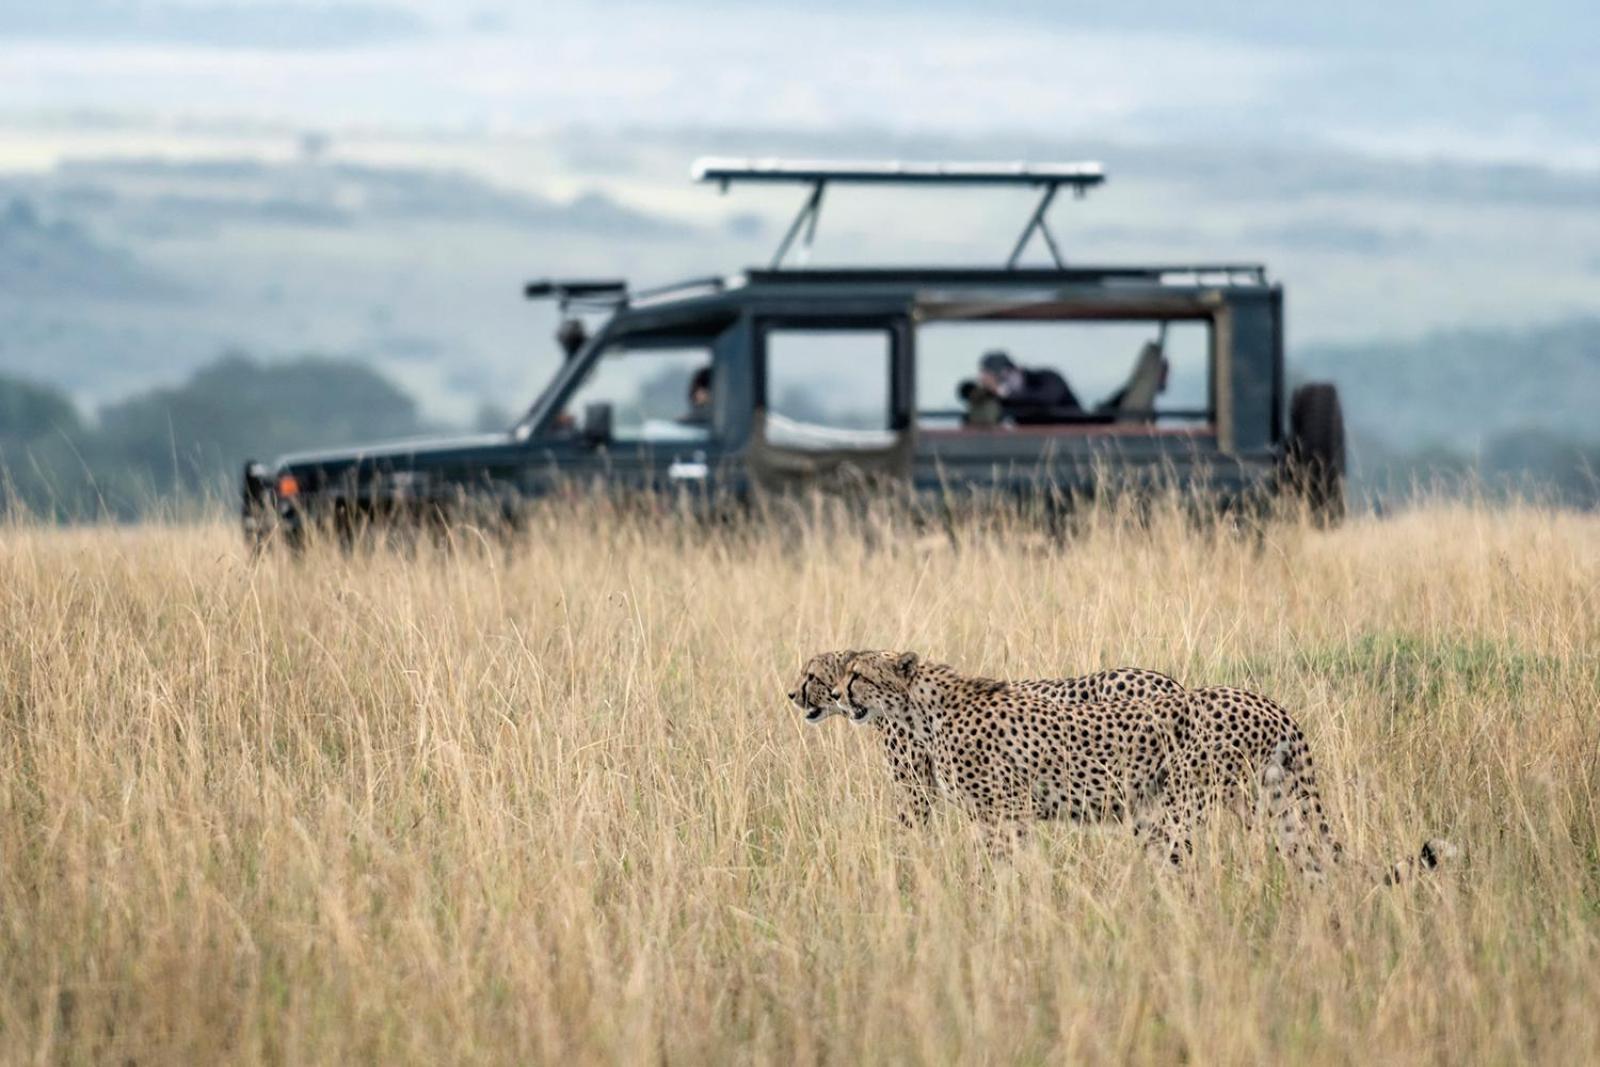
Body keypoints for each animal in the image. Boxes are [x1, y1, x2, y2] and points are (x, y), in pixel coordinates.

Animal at [832, 652, 1459, 883]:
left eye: (857, 672)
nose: (834, 693)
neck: (923, 709)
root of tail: (1264, 700)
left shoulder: (1003, 814)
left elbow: (1002, 869)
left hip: (1175, 812)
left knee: (1185, 870)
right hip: (1266, 806)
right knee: (1309, 865)